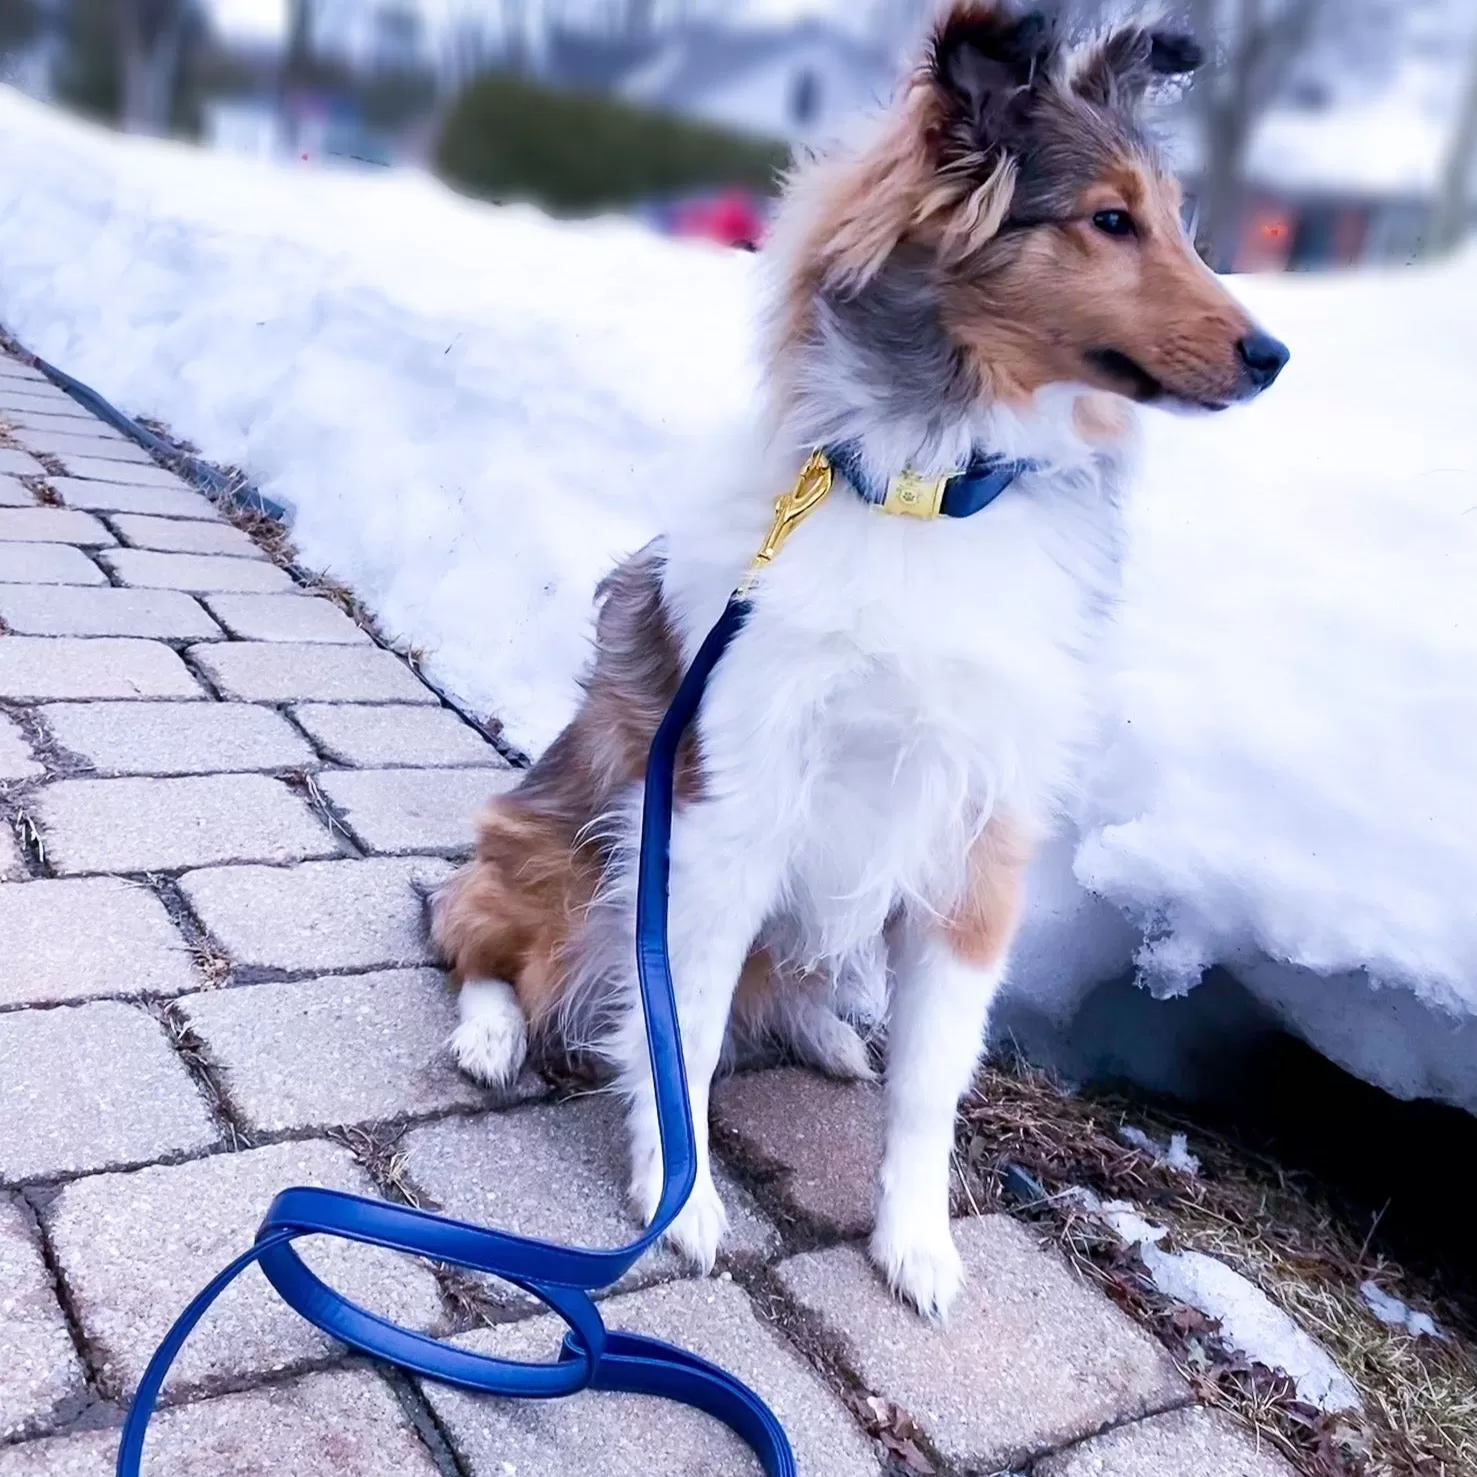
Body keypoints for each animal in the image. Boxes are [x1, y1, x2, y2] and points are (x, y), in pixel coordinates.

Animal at [431, 0, 1287, 1317]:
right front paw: (677, 1195)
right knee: (486, 941)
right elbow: (675, 1026)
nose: (1272, 355)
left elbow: (932, 1079)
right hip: (568, 845)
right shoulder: (725, 813)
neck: (935, 493)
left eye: (1179, 221)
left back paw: (827, 1033)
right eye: (1109, 219)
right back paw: (488, 1032)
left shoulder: (980, 840)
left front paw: (916, 1240)